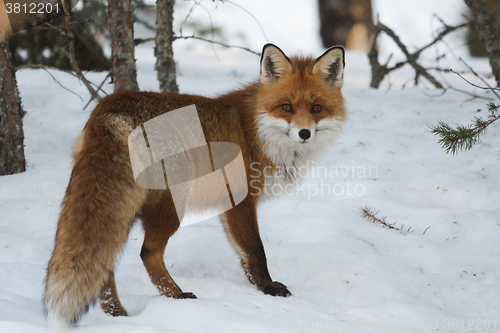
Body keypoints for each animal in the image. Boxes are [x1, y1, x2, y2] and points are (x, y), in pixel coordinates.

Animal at [45, 42, 346, 328]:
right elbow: (256, 249)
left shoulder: (229, 207)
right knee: (148, 253)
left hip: (121, 208)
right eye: (286, 107)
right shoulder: (241, 198)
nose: (304, 133)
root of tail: (110, 106)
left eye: (317, 108)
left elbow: (243, 254)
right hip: (170, 203)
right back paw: (176, 296)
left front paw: (254, 285)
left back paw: (117, 314)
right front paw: (268, 288)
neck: (257, 132)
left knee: (104, 263)